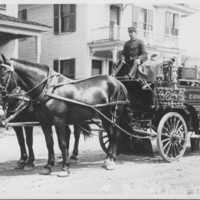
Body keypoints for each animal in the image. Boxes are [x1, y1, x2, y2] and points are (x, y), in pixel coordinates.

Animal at [0, 54, 128, 177]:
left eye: (3, 73)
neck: (48, 90)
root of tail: (118, 83)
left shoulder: (56, 122)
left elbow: (61, 143)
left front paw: (65, 168)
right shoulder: (43, 122)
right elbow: (48, 143)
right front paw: (48, 166)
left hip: (113, 115)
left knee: (114, 134)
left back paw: (110, 161)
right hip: (103, 116)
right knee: (110, 133)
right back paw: (108, 159)